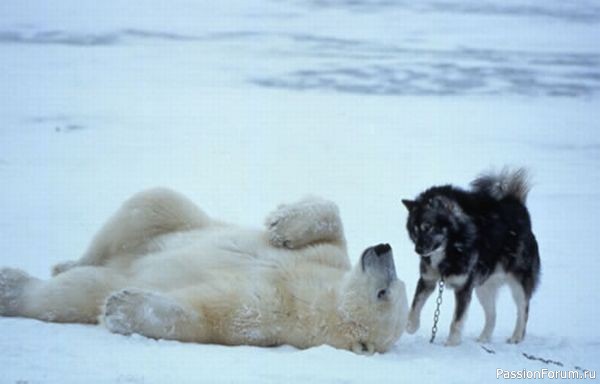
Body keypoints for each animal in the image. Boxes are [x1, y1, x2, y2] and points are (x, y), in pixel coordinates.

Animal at [0, 188, 408, 354]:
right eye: (395, 282)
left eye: (384, 292)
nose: (384, 249)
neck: (318, 296)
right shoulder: (328, 260)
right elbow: (331, 222)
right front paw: (281, 223)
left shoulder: (272, 312)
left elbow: (209, 313)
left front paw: (122, 307)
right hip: (165, 223)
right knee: (151, 204)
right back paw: (65, 262)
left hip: (111, 274)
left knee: (74, 292)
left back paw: (11, 286)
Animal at [404, 168, 540, 344]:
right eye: (414, 230)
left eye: (428, 227)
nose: (418, 250)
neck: (451, 249)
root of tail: (517, 206)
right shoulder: (427, 280)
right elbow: (415, 306)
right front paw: (410, 326)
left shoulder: (463, 288)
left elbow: (456, 322)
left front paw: (451, 344)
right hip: (483, 288)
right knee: (492, 315)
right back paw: (483, 339)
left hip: (518, 284)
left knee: (523, 310)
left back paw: (516, 337)